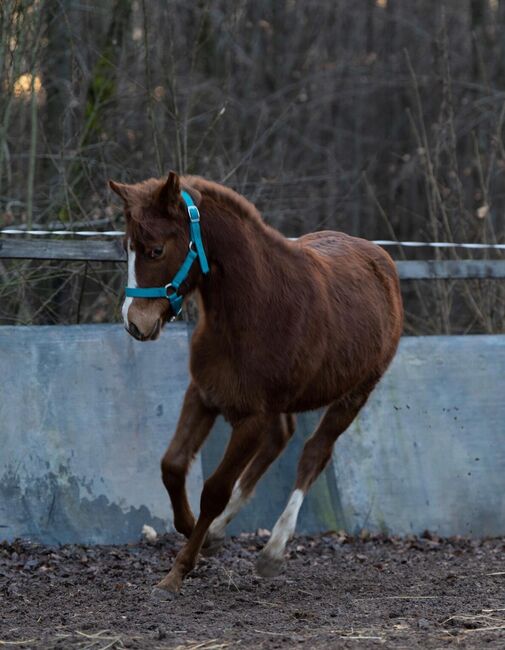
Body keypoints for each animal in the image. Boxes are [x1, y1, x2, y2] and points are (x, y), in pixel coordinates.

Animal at [109, 171, 402, 592]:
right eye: (126, 248)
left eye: (155, 251)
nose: (135, 323)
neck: (254, 310)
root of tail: (382, 260)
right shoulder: (204, 394)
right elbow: (173, 465)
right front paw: (191, 529)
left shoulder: (252, 418)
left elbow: (214, 489)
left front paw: (178, 570)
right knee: (281, 438)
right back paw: (217, 533)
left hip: (355, 394)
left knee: (314, 452)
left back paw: (273, 551)